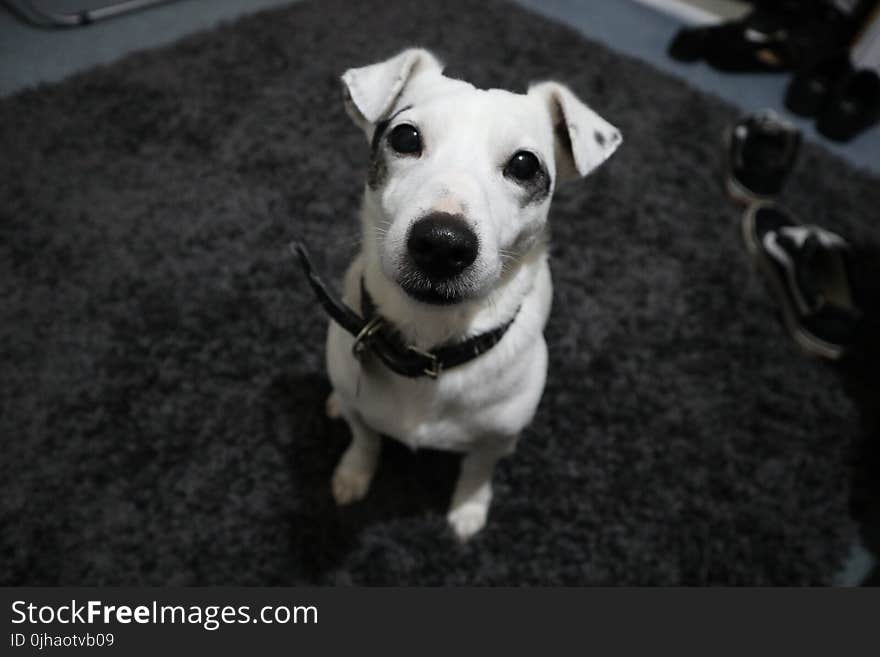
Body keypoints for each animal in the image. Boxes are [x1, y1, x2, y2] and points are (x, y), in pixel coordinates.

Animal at [316, 44, 620, 540]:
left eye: (524, 164)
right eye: (405, 137)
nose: (442, 243)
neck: (429, 345)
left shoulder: (495, 436)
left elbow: (479, 469)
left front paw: (469, 508)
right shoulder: (361, 408)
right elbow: (365, 440)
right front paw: (353, 474)